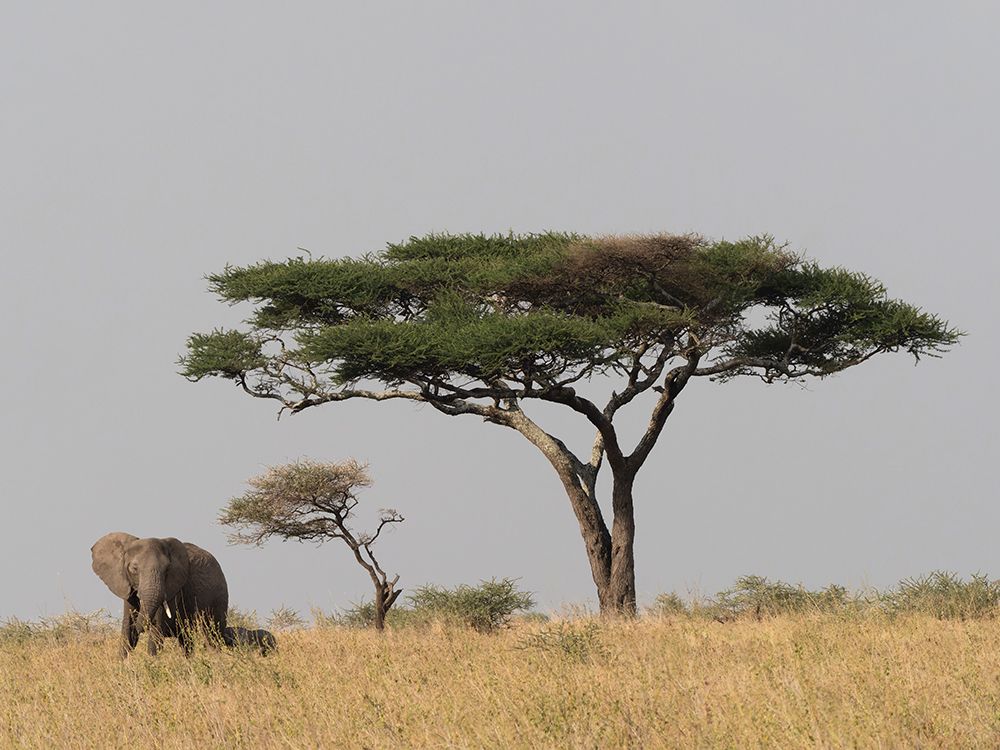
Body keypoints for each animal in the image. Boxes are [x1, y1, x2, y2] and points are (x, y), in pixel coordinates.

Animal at [91, 532, 228, 658]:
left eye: (167, 569)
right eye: (134, 568)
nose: (142, 628)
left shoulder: (173, 588)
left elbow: (157, 629)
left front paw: (151, 661)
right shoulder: (126, 586)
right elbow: (127, 628)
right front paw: (122, 662)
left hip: (219, 597)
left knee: (213, 636)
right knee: (186, 640)